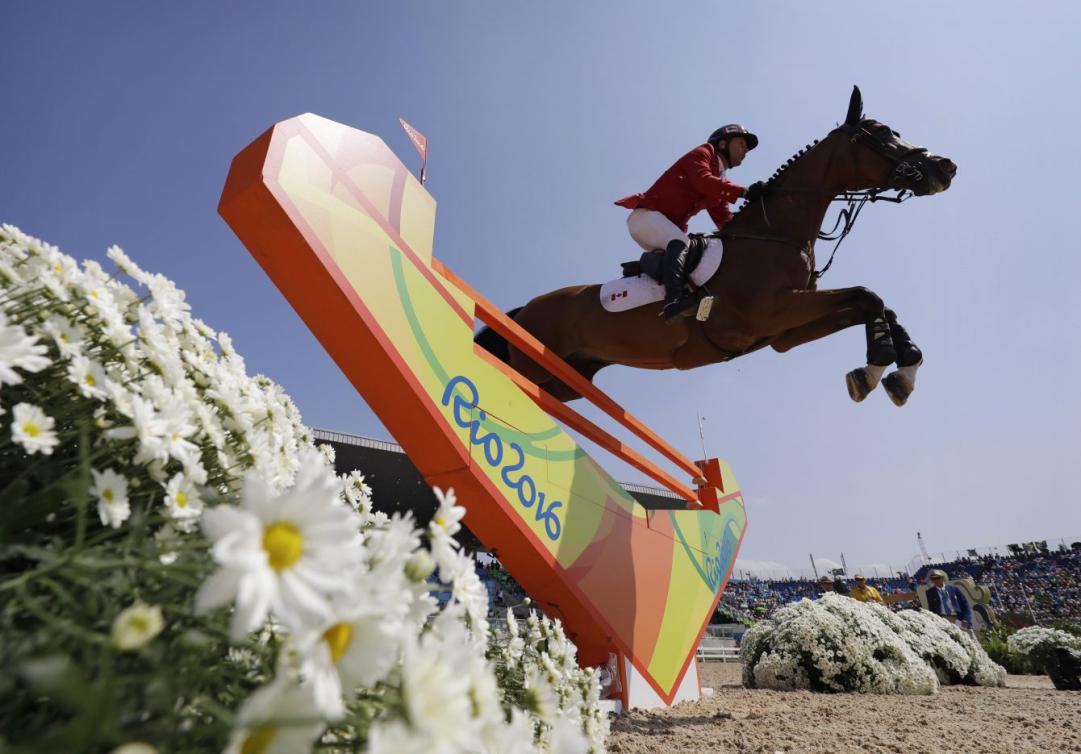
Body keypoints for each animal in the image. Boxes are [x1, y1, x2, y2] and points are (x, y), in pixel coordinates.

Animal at [477, 85, 959, 406]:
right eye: (880, 133)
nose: (945, 167)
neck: (775, 233)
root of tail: (524, 308)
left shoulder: (783, 331)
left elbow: (873, 302)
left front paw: (898, 371)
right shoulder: (773, 312)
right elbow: (868, 295)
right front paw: (879, 365)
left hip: (567, 379)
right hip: (535, 368)